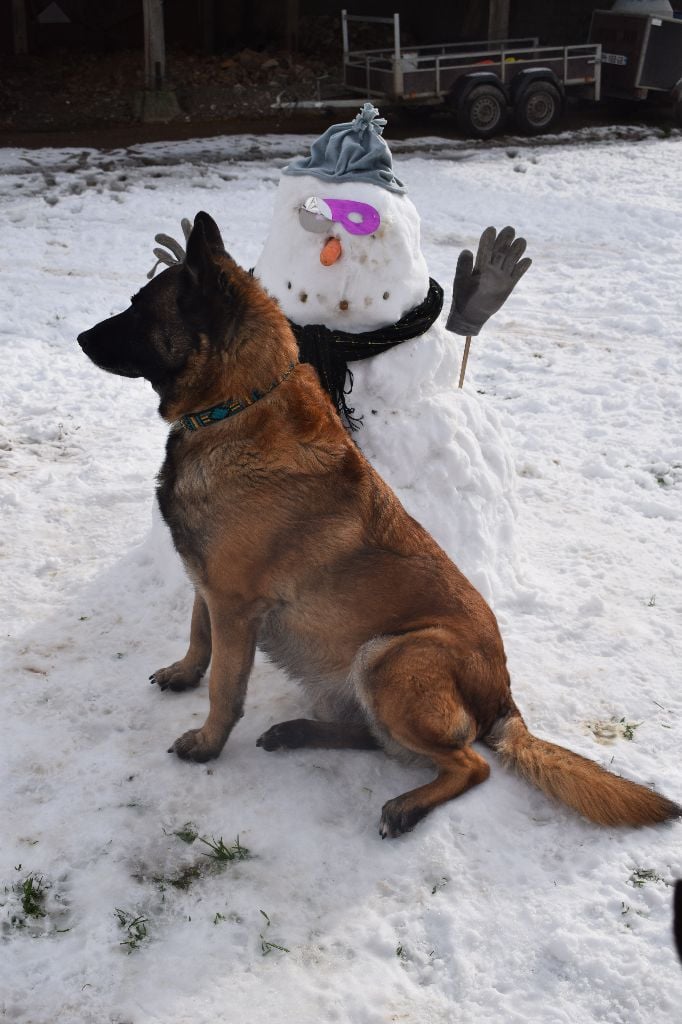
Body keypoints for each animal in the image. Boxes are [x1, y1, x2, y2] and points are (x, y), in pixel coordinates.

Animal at [76, 211, 675, 835]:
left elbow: (224, 685)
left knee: (469, 766)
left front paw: (206, 742)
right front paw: (183, 673)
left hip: (392, 657)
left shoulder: (235, 605)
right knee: (378, 739)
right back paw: (299, 733)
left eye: (139, 309)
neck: (239, 403)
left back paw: (406, 805)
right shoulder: (208, 586)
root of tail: (505, 701)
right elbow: (198, 636)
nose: (80, 338)